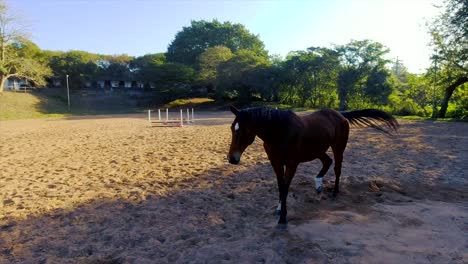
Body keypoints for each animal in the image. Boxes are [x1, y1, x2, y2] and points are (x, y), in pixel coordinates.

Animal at [227, 105, 398, 225]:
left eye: (244, 130)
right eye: (232, 128)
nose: (232, 159)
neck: (280, 132)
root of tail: (341, 115)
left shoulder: (292, 163)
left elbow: (285, 186)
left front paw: (283, 217)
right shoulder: (276, 162)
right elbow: (280, 186)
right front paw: (280, 209)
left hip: (338, 147)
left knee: (337, 168)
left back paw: (334, 192)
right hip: (318, 149)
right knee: (327, 162)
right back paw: (318, 185)